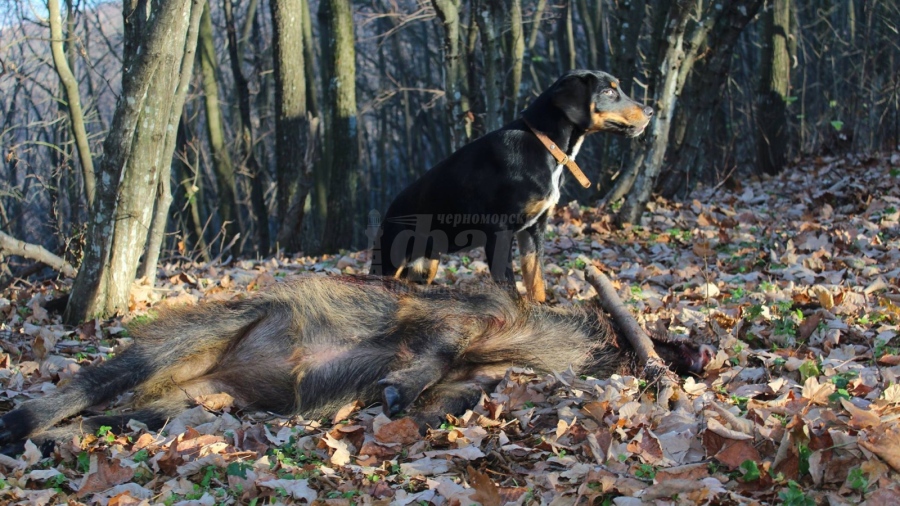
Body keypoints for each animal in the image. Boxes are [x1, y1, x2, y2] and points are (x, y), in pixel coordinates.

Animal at [372, 69, 652, 302]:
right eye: (608, 91)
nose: (650, 111)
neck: (545, 145)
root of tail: (388, 212)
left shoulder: (534, 230)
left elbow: (536, 282)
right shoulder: (499, 231)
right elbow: (509, 289)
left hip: (425, 266)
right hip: (390, 259)